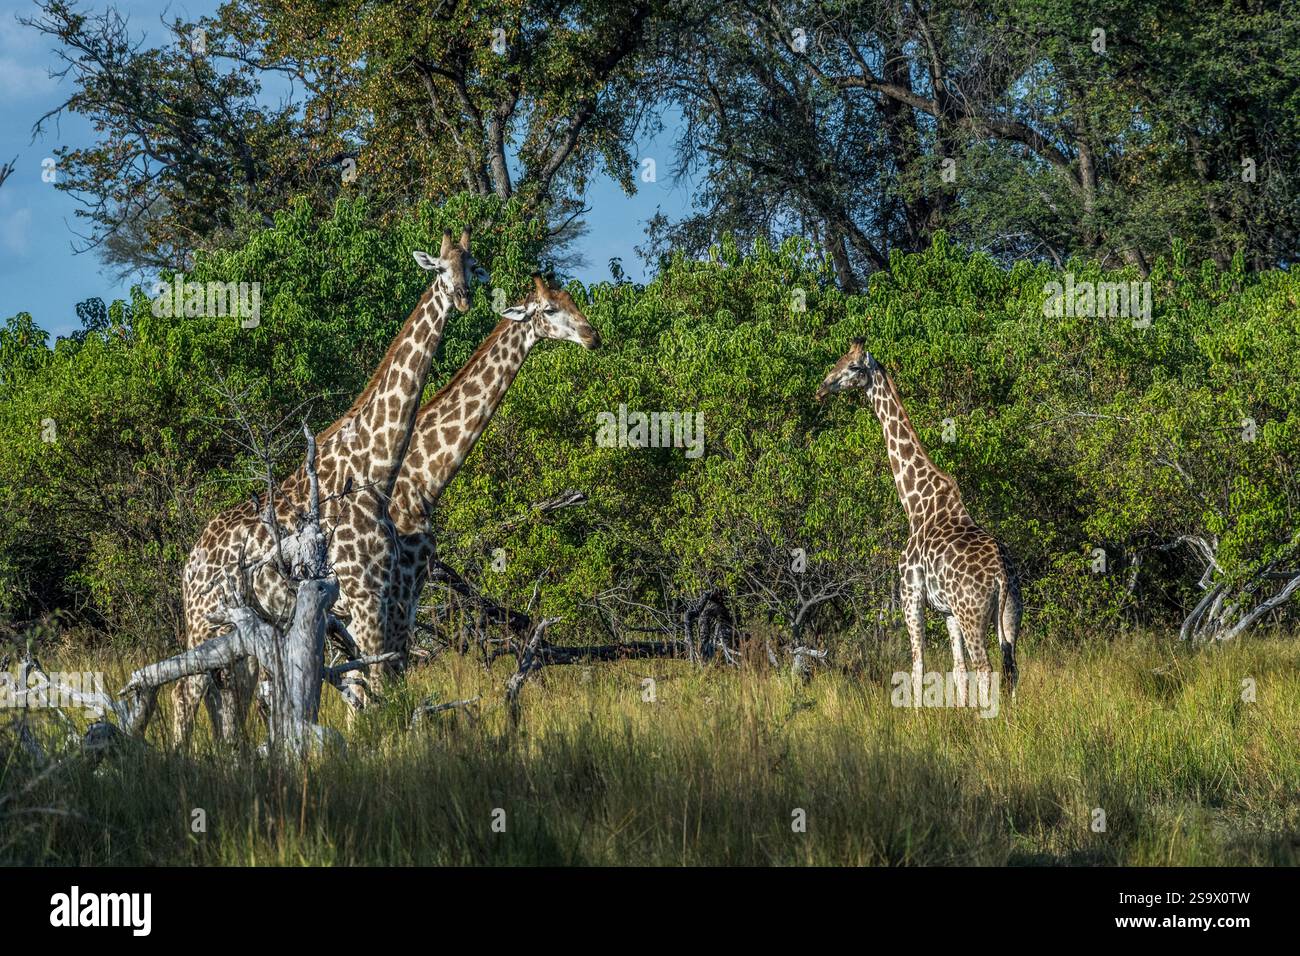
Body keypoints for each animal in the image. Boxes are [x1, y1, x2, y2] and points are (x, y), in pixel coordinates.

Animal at [174, 230, 488, 743]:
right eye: (440, 268)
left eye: (473, 265)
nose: (462, 298)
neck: (371, 468)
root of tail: (188, 562)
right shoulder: (365, 598)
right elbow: (373, 684)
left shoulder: (384, 598)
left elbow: (369, 683)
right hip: (203, 620)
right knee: (186, 693)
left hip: (240, 628)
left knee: (229, 696)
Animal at [816, 339, 1020, 705]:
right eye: (839, 359)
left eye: (853, 367)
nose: (822, 389)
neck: (917, 505)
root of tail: (1001, 574)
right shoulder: (947, 610)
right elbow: (957, 669)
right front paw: (960, 711)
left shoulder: (909, 591)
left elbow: (917, 663)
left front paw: (917, 714)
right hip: (1010, 613)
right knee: (1010, 666)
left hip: (973, 613)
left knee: (986, 668)